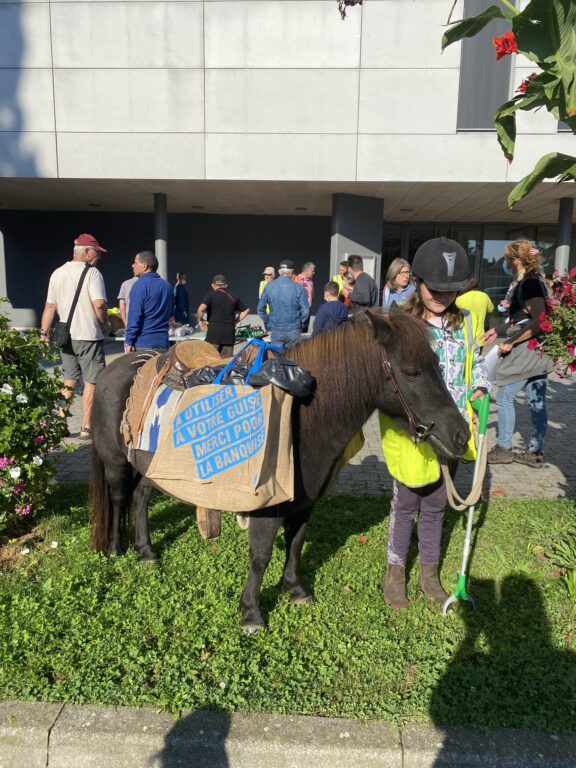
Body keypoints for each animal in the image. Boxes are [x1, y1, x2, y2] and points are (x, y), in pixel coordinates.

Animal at [89, 308, 468, 632]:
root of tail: (115, 368)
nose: (461, 435)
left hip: (151, 468)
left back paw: (146, 551)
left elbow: (296, 544)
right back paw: (116, 548)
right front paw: (252, 613)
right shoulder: (266, 506)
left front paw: (295, 590)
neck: (302, 418)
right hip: (117, 462)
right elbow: (260, 555)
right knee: (121, 498)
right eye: (411, 372)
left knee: (140, 496)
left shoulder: (304, 503)